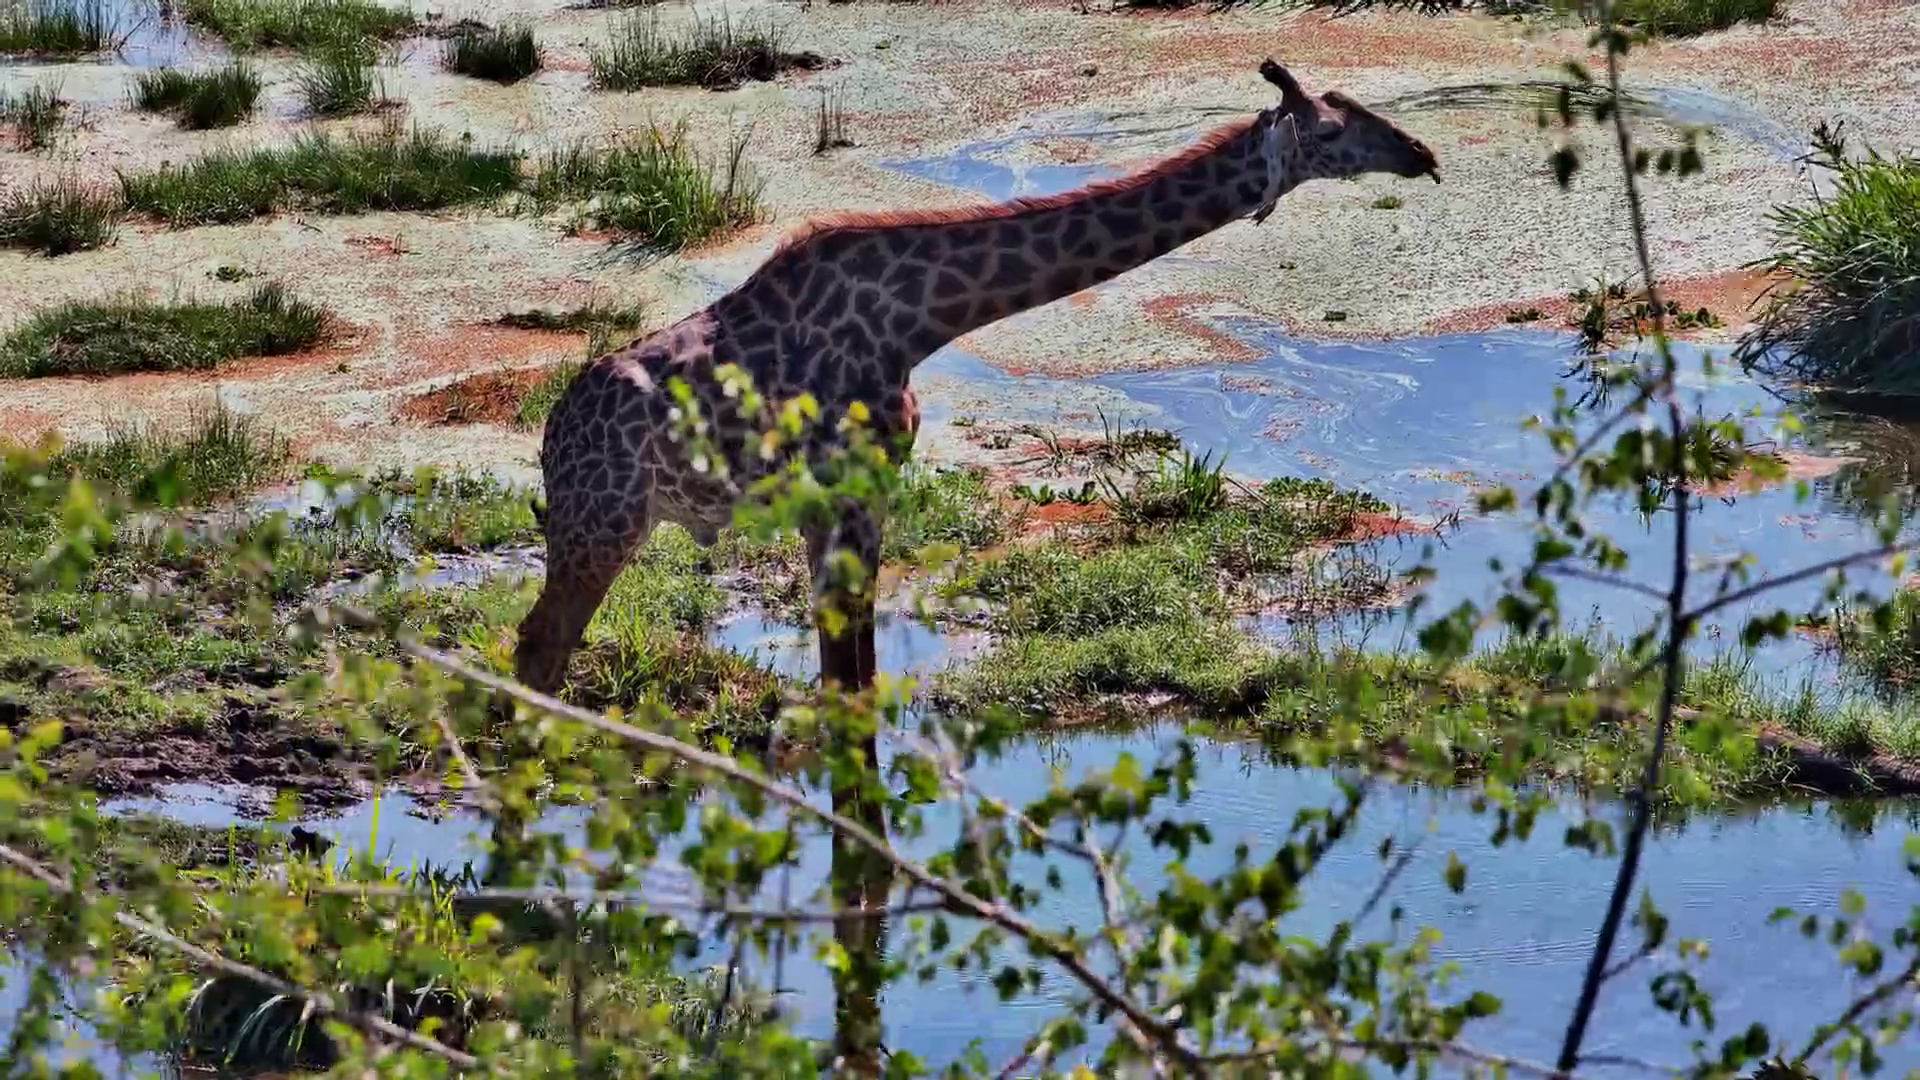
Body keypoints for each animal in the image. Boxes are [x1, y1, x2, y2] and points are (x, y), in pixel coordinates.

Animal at [511, 58, 1440, 699]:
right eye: (1332, 130)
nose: (1423, 153)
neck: (919, 319)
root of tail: (551, 439)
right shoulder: (849, 489)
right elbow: (849, 693)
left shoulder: (848, 499)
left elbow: (854, 685)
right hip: (605, 522)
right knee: (538, 648)